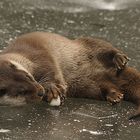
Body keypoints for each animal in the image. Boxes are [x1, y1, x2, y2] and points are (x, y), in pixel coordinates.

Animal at [0, 32, 138, 119]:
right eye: (22, 92)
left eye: (28, 76)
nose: (40, 91)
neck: (24, 56)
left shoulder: (41, 55)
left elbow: (51, 71)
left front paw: (52, 89)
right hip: (87, 86)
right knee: (102, 87)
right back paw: (114, 96)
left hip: (86, 44)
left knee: (103, 47)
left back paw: (119, 58)